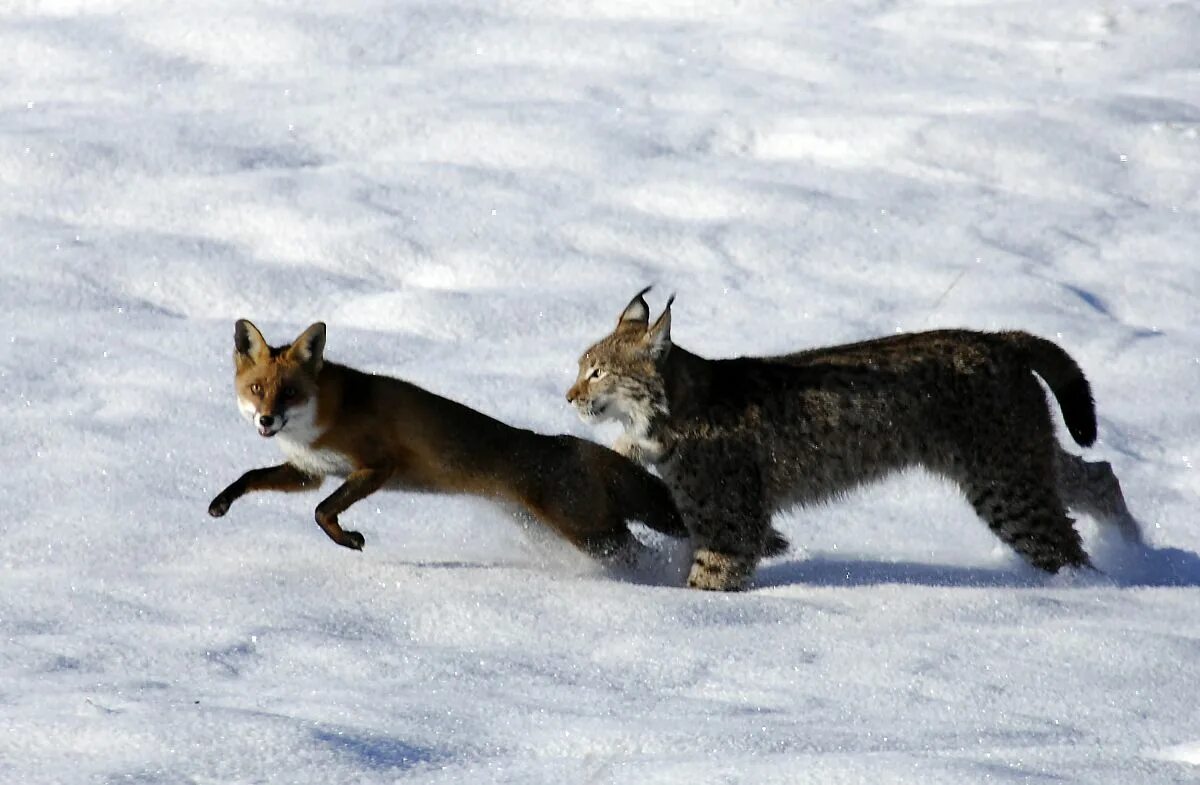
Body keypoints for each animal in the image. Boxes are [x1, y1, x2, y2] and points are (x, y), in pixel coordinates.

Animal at [211, 321, 691, 566]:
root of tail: (571, 444)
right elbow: (252, 477)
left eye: (290, 393)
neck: (321, 419)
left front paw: (348, 539)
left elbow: (322, 511)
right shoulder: (309, 471)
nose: (267, 420)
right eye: (257, 390)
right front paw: (220, 503)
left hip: (593, 536)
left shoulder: (377, 466)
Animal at [566, 289, 1137, 590]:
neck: (665, 413)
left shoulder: (732, 527)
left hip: (1003, 483)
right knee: (1096, 474)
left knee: (1064, 546)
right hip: (1017, 457)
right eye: (581, 368)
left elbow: (709, 580)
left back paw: (1093, 590)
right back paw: (1130, 546)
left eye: (598, 372)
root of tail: (996, 337)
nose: (569, 396)